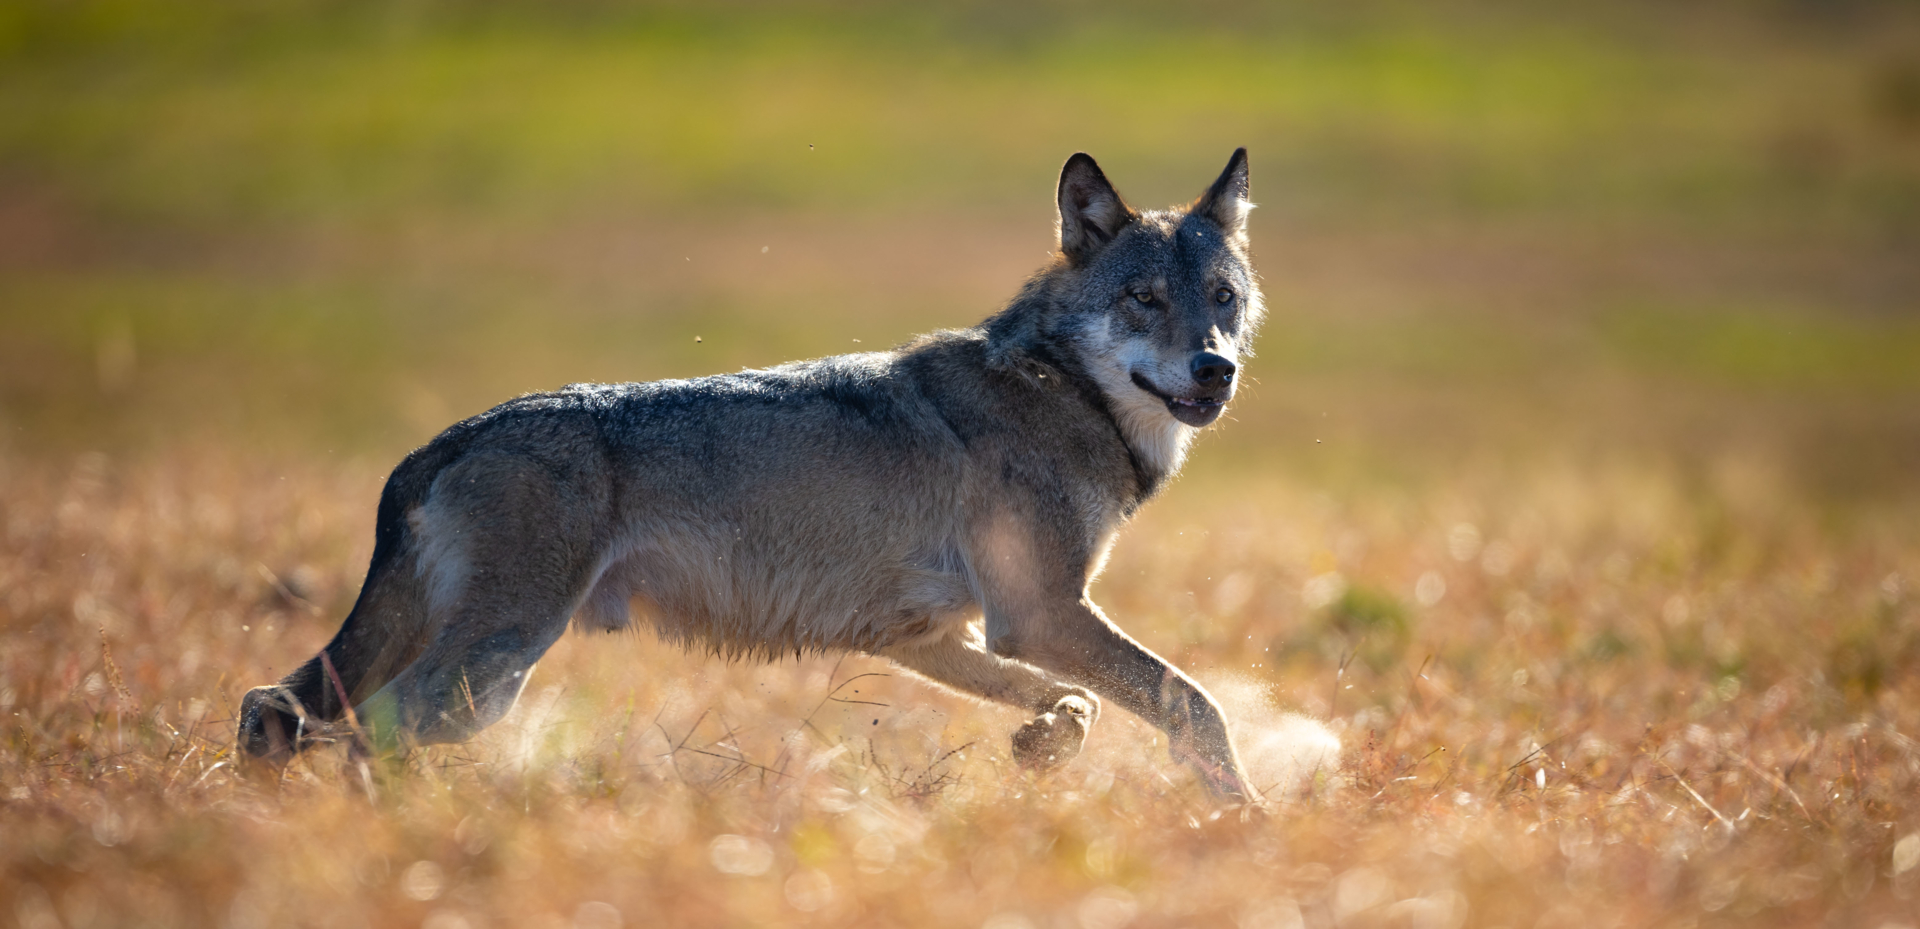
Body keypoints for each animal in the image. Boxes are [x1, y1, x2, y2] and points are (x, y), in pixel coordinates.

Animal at [236, 150, 1259, 798]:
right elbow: (1196, 702)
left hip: (473, 673)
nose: (1215, 369)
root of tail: (436, 445)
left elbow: (1075, 702)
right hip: (494, 668)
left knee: (271, 706)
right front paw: (1246, 820)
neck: (1058, 388)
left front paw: (1045, 743)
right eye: (1143, 299)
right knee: (356, 728)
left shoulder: (937, 635)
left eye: (1222, 299)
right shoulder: (1040, 614)